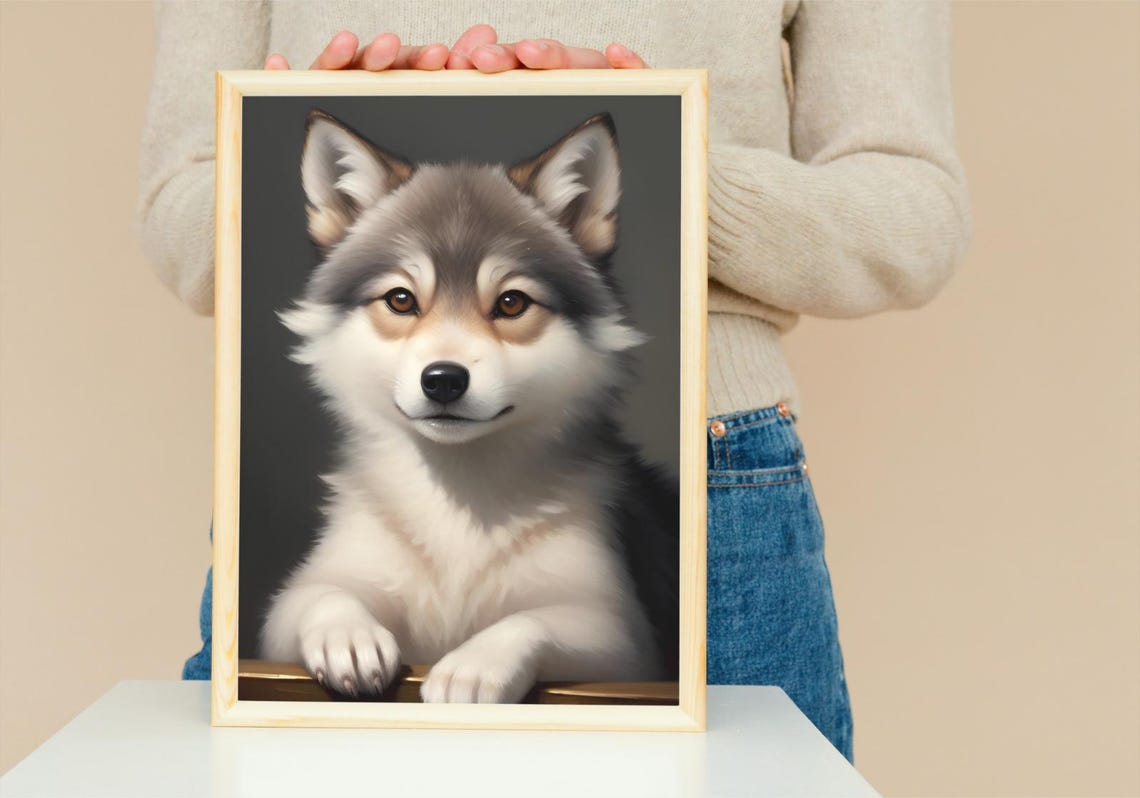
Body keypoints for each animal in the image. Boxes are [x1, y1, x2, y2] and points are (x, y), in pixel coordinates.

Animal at [259, 108, 679, 703]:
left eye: (512, 303)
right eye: (401, 299)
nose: (443, 380)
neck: (457, 496)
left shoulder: (620, 638)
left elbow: (531, 620)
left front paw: (473, 667)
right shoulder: (297, 603)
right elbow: (317, 596)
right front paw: (349, 635)